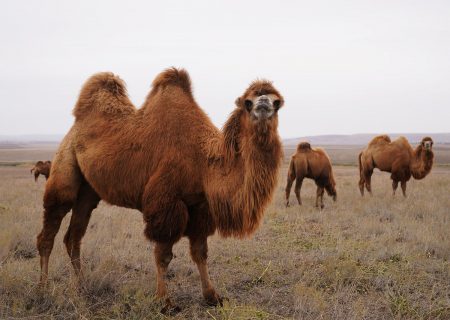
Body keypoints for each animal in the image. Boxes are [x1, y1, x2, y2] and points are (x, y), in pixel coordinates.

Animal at [37, 67, 284, 310]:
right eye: (248, 102)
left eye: (278, 101)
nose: (263, 103)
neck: (203, 161)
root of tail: (75, 127)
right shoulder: (166, 203)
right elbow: (163, 256)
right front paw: (164, 301)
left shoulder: (200, 207)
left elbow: (200, 253)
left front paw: (212, 296)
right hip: (63, 168)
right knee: (49, 229)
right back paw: (44, 288)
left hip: (88, 192)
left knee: (73, 237)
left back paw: (82, 285)